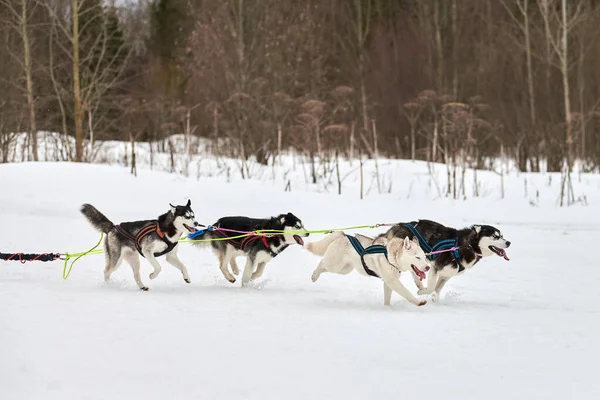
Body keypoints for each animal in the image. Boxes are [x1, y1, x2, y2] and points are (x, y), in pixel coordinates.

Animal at [376, 220, 510, 302]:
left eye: (502, 236)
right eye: (495, 237)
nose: (509, 242)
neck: (465, 245)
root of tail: (398, 225)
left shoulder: (446, 275)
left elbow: (437, 289)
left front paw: (434, 299)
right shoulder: (435, 269)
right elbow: (431, 287)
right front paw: (422, 292)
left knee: (414, 269)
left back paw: (419, 282)